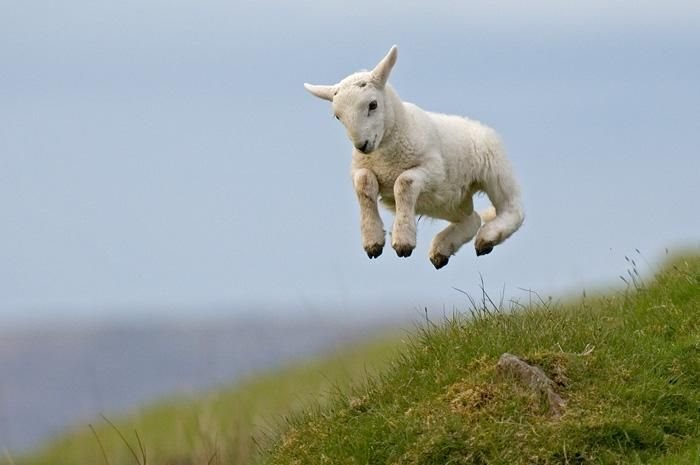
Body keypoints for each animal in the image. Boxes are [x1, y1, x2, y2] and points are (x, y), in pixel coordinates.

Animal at [303, 45, 524, 269]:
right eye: (338, 116)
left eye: (373, 105)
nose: (361, 145)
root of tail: (477, 126)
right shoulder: (360, 168)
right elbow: (364, 184)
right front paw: (373, 242)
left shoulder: (433, 170)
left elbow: (404, 183)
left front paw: (403, 242)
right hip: (446, 201)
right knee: (472, 219)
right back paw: (442, 250)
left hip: (493, 168)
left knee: (513, 209)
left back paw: (487, 237)